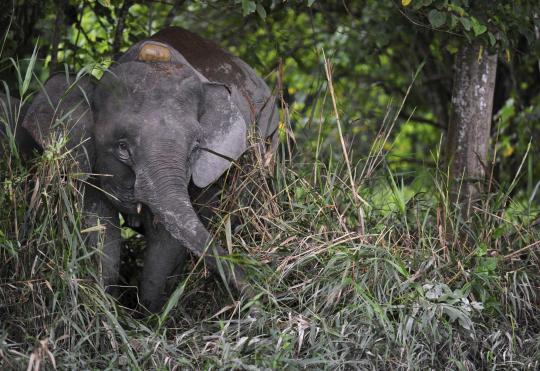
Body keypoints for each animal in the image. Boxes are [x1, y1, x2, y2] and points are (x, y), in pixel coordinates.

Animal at [17, 26, 278, 312]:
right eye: (122, 147)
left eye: (195, 148)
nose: (260, 300)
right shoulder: (87, 160)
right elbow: (98, 226)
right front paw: (107, 306)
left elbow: (167, 240)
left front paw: (151, 314)